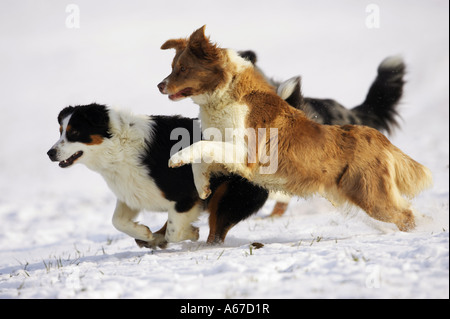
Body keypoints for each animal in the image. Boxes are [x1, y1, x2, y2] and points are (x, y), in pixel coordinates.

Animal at [158, 26, 432, 232]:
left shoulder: (246, 155)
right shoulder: (229, 154)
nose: (160, 86)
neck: (225, 95)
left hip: (370, 195)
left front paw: (176, 158)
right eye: (172, 66)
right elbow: (201, 158)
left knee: (406, 215)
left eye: (183, 68)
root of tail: (376, 136)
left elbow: (200, 145)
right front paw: (202, 187)